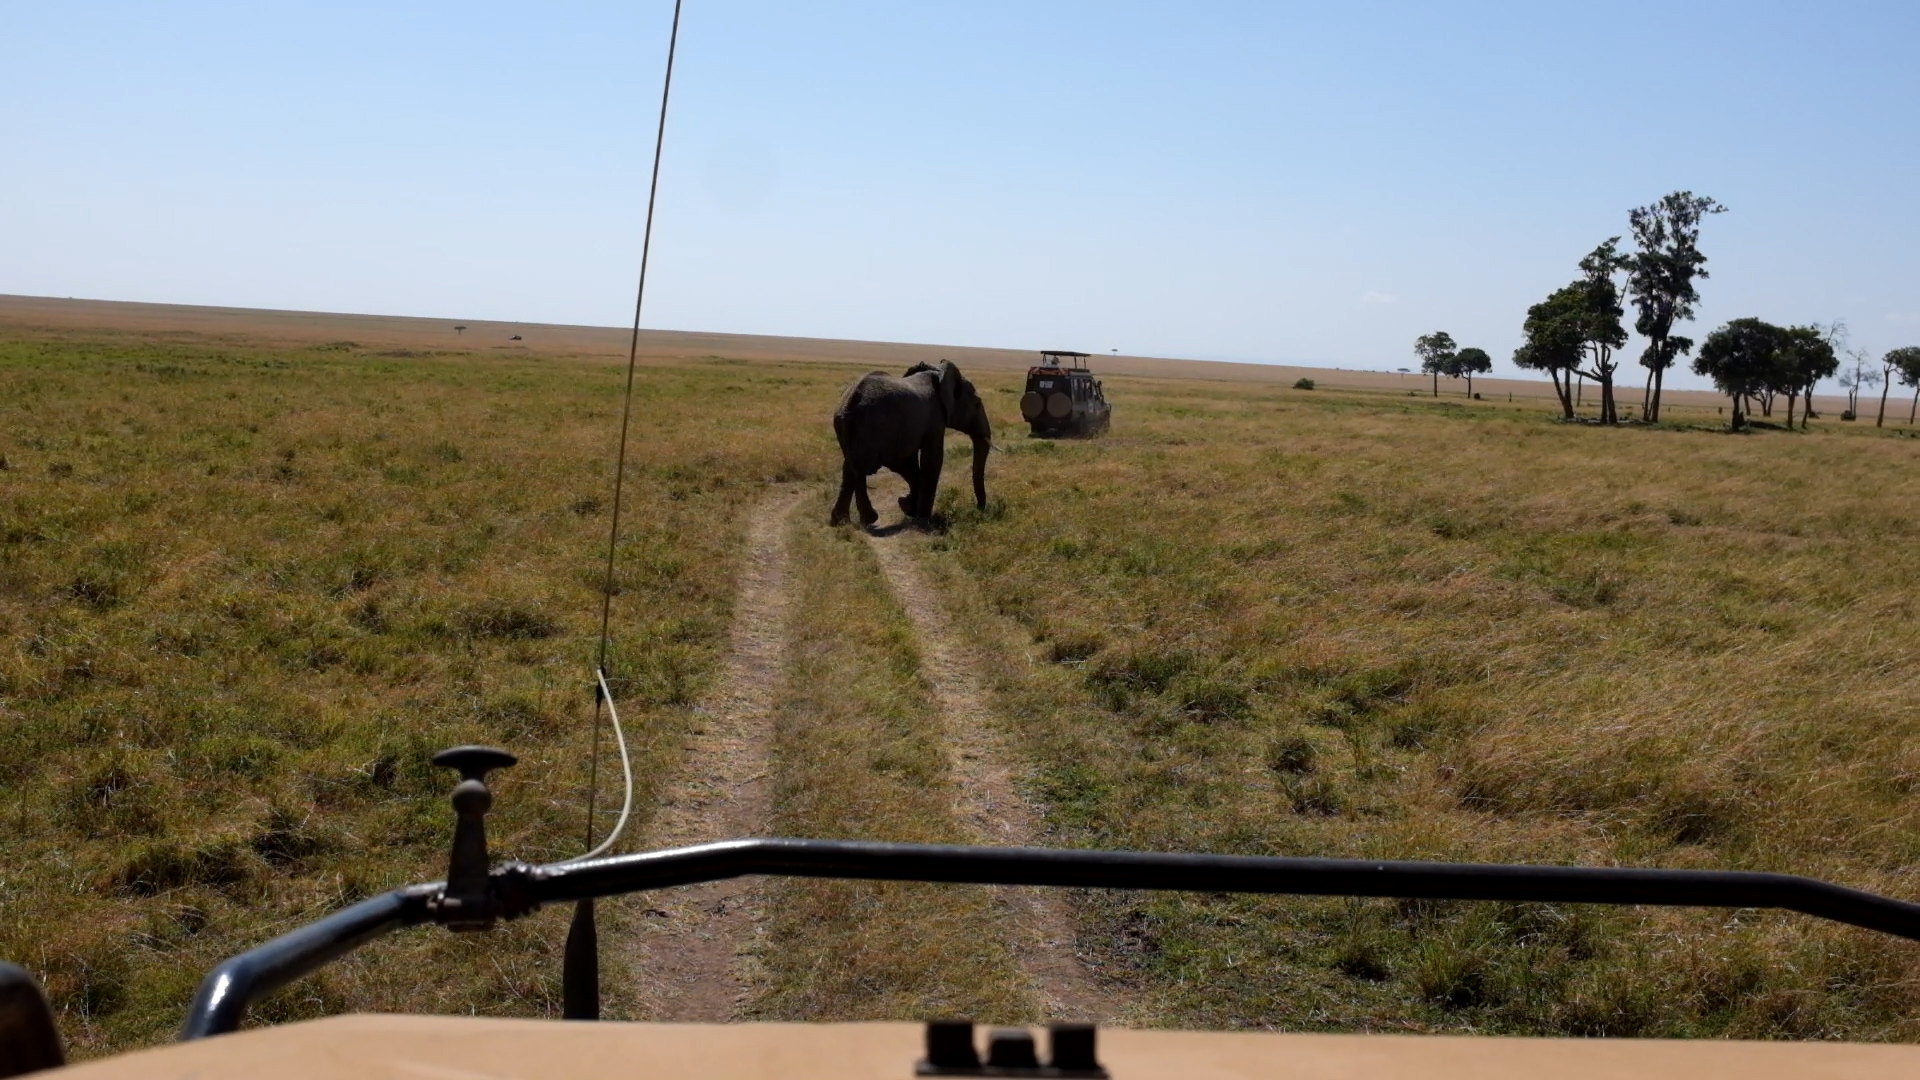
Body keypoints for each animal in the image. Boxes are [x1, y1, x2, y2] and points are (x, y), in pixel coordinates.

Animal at [833, 361, 998, 526]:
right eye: (977, 404)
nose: (978, 509)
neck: (939, 375)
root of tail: (850, 405)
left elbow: (912, 463)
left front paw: (907, 507)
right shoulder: (934, 418)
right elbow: (932, 459)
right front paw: (922, 519)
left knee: (849, 468)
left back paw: (841, 522)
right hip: (876, 427)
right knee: (866, 467)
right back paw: (869, 519)